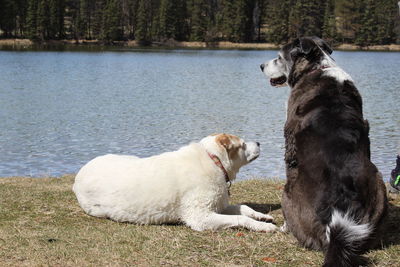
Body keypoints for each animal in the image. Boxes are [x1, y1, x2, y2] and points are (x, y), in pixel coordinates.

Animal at [72, 134, 276, 232]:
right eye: (242, 144)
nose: (259, 142)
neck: (214, 161)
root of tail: (79, 175)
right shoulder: (200, 216)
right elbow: (240, 218)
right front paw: (264, 227)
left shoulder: (218, 204)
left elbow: (243, 208)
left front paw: (262, 216)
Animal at [260, 37, 386, 267]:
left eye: (279, 57)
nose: (261, 66)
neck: (316, 68)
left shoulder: (290, 143)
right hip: (379, 184)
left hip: (286, 193)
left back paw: (286, 229)